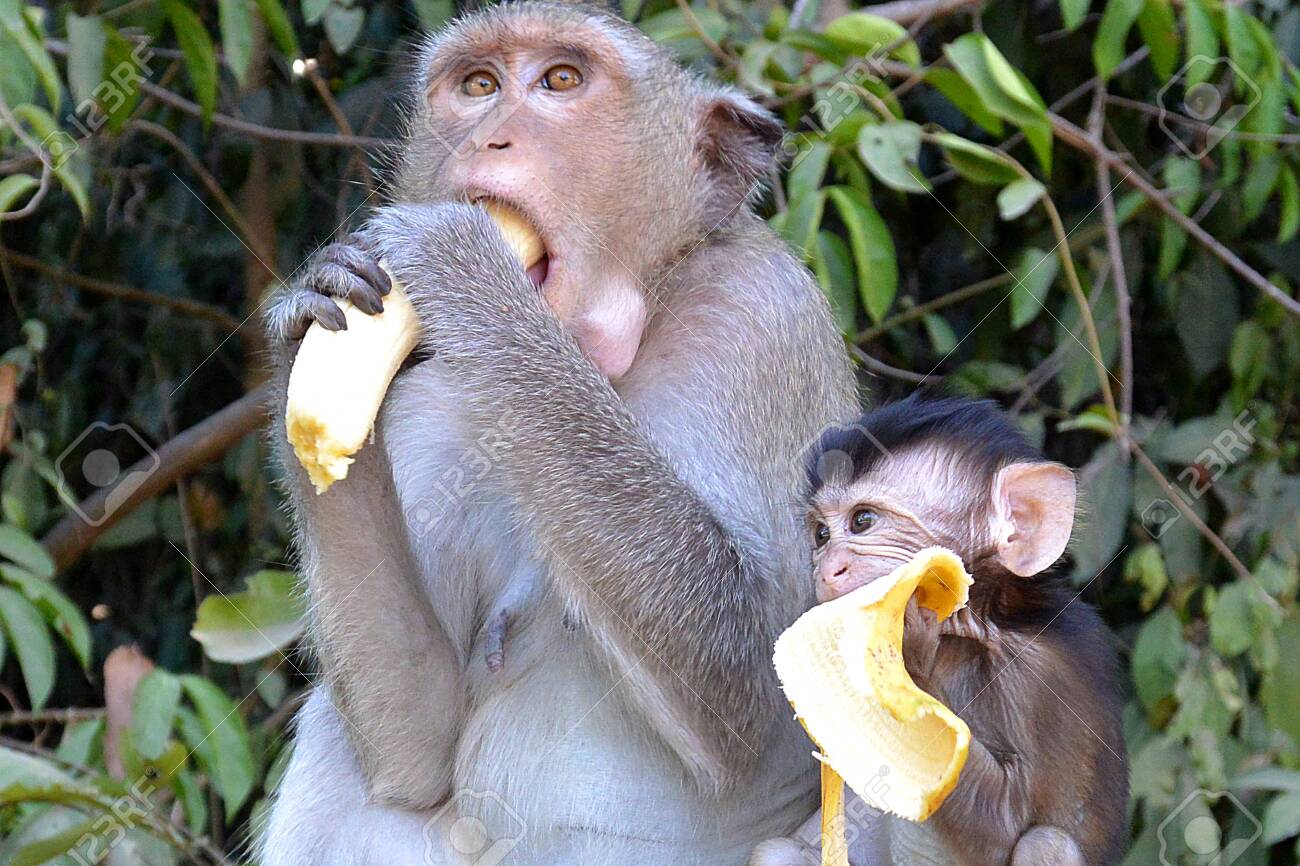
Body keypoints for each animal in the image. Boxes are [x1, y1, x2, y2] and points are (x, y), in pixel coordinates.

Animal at [257, 2, 860, 864]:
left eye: (561, 81)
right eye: (478, 86)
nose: (488, 140)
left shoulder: (760, 320)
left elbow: (756, 686)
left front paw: (467, 264)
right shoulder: (428, 406)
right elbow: (415, 755)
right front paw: (308, 319)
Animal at [749, 395, 1128, 866]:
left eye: (862, 521)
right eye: (821, 534)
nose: (826, 569)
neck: (974, 629)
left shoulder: (1039, 680)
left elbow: (1004, 828)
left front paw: (907, 654)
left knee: (1045, 843)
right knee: (777, 851)